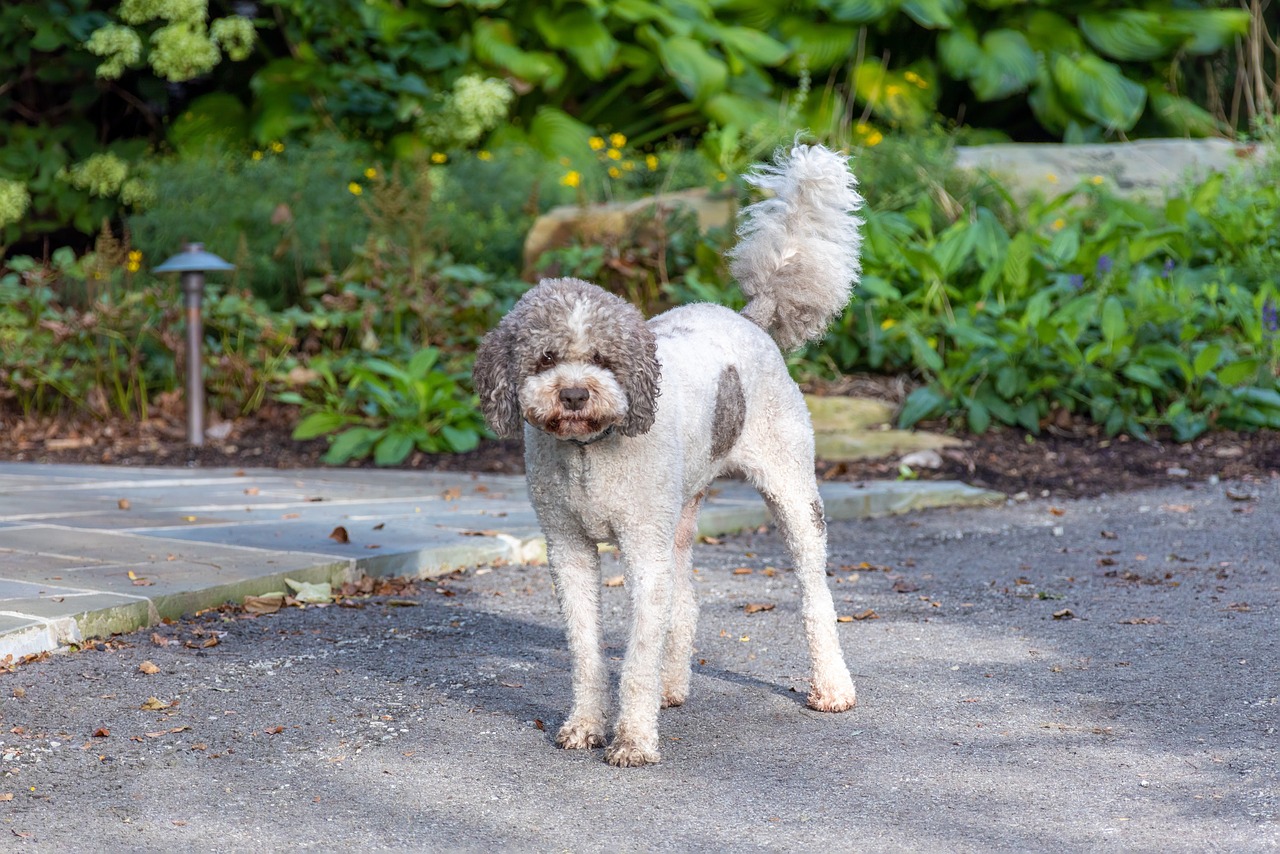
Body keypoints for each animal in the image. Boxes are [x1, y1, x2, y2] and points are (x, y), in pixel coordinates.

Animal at [476, 142, 865, 768]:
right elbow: (588, 652)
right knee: (685, 604)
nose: (574, 394)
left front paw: (633, 739)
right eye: (545, 357)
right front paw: (585, 725)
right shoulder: (568, 549)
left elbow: (635, 656)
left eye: (604, 358)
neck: (589, 454)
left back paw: (831, 687)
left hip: (792, 494)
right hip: (679, 517)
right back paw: (671, 687)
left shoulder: (642, 551)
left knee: (815, 596)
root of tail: (751, 317)